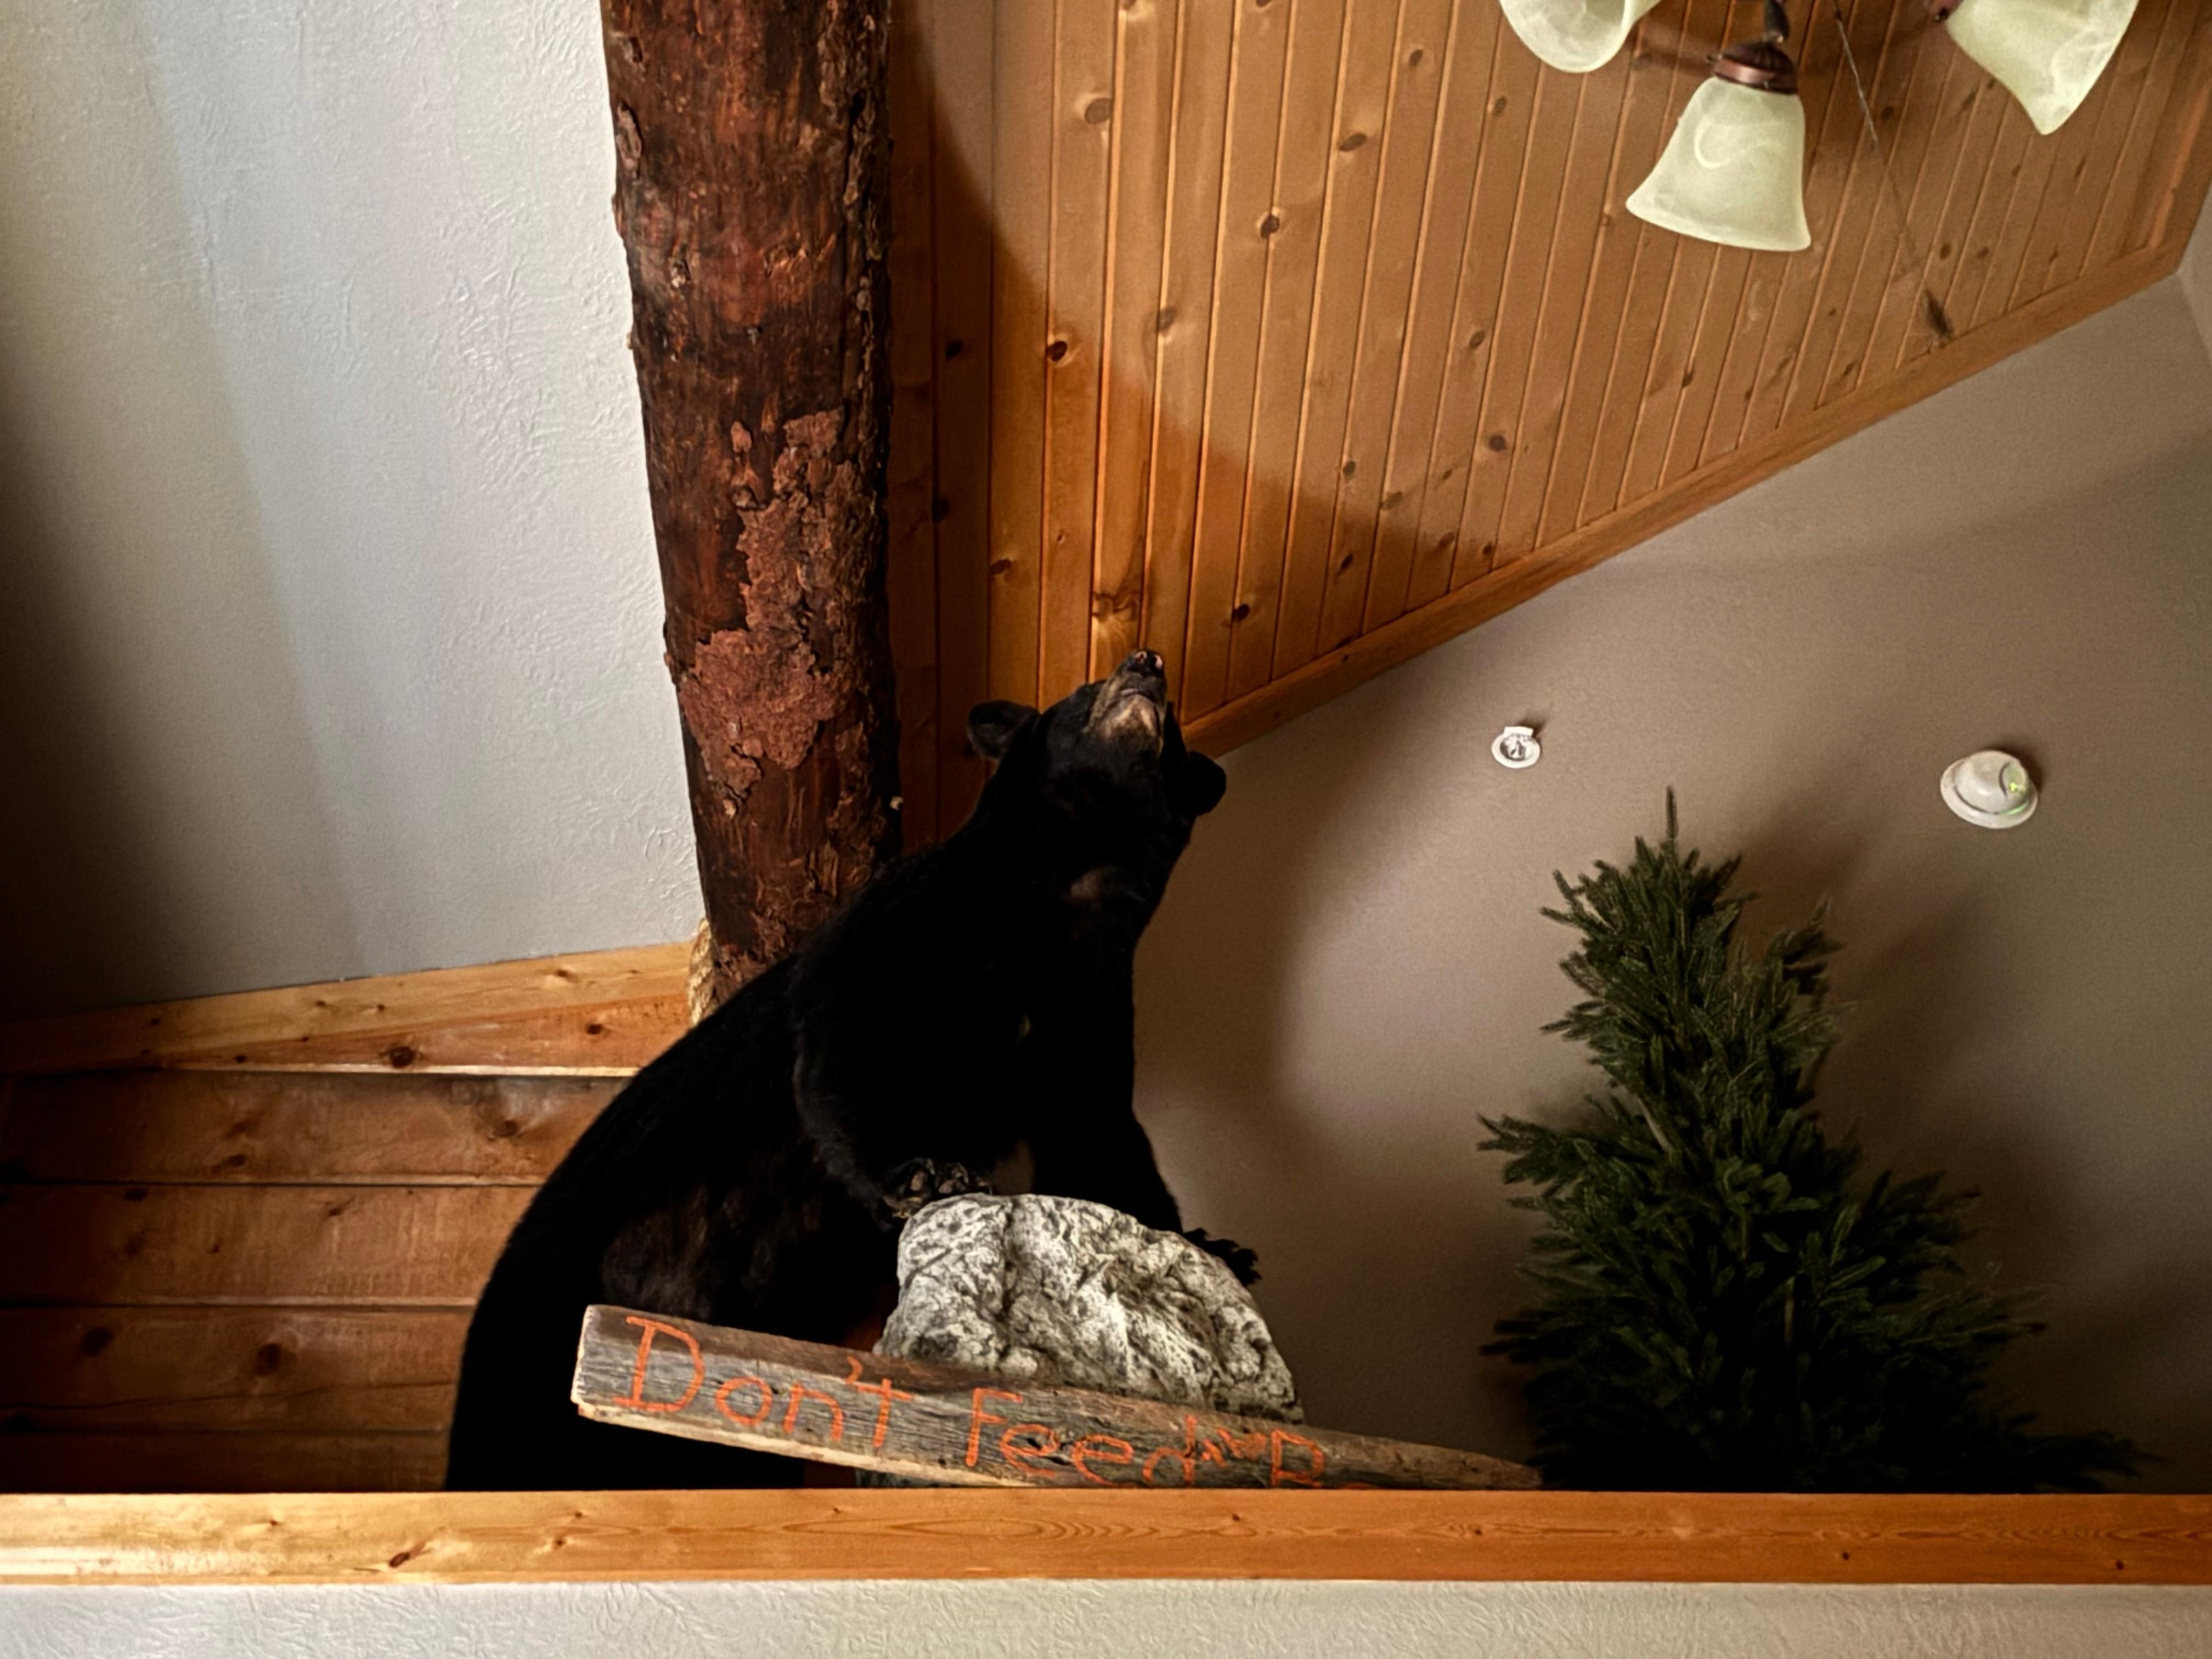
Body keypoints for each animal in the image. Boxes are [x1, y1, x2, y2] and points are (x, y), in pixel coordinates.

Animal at [444, 648, 1248, 1491]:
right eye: (1081, 691)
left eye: (1177, 736)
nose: (1146, 663)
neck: (1065, 888)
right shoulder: (909, 920)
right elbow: (851, 1042)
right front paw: (921, 1174)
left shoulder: (1086, 1002)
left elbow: (1099, 1135)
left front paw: (1216, 1247)